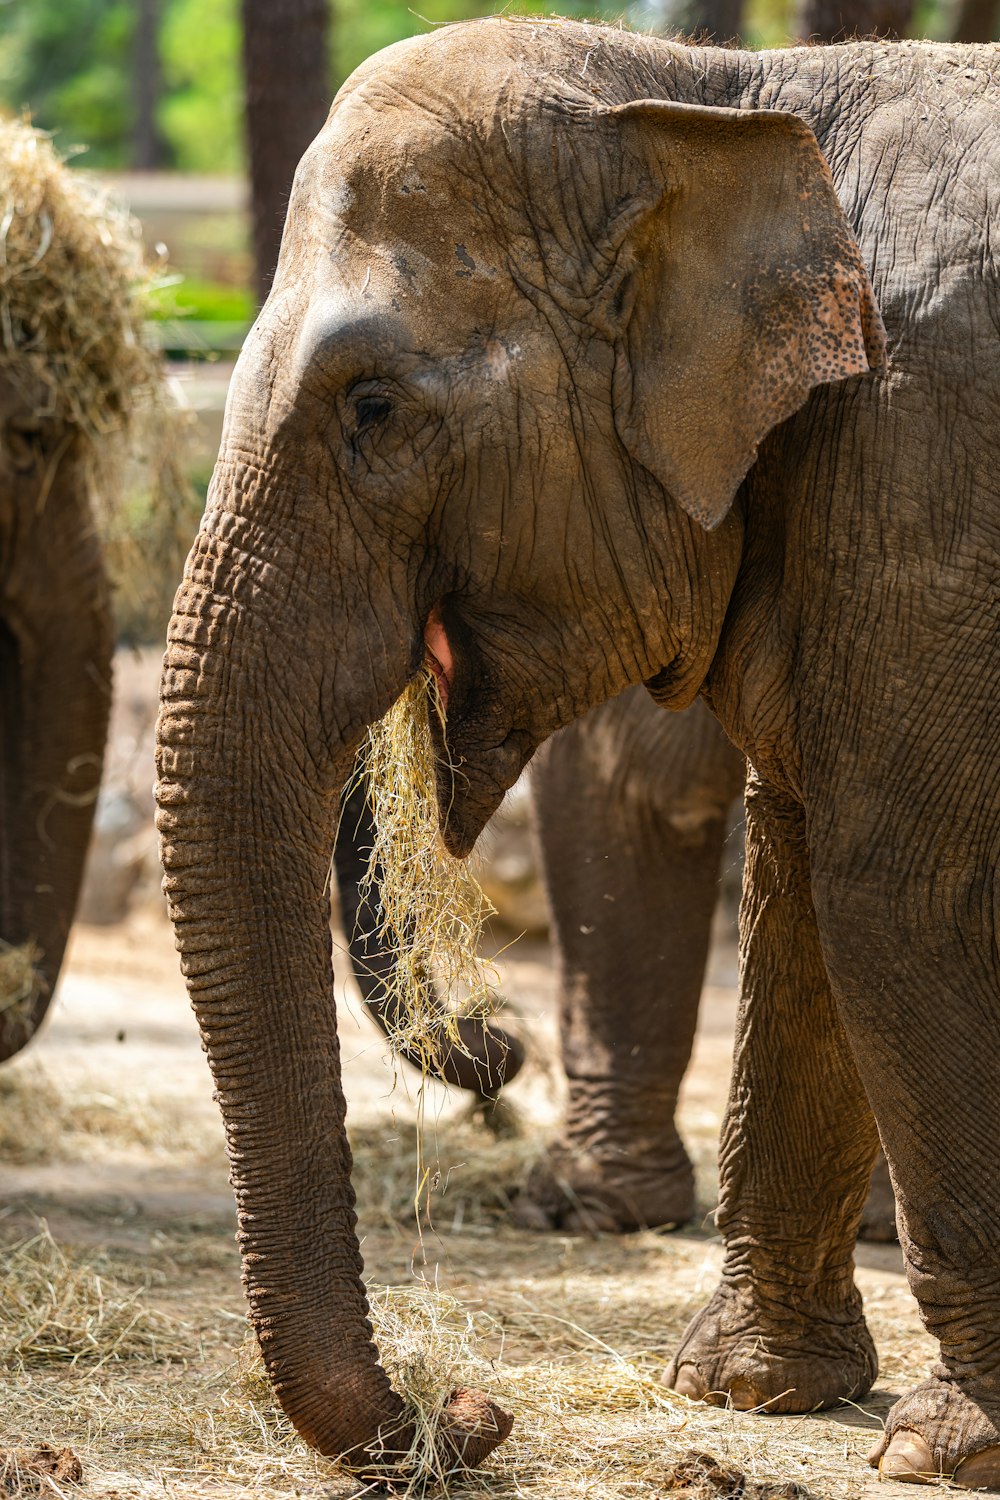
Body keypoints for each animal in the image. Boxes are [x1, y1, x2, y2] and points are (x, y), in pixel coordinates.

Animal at [154, 20, 1000, 1488]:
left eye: (372, 408)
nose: (470, 1411)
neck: (714, 96)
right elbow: (805, 883)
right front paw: (747, 1393)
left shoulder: (927, 465)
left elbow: (897, 887)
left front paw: (945, 1446)